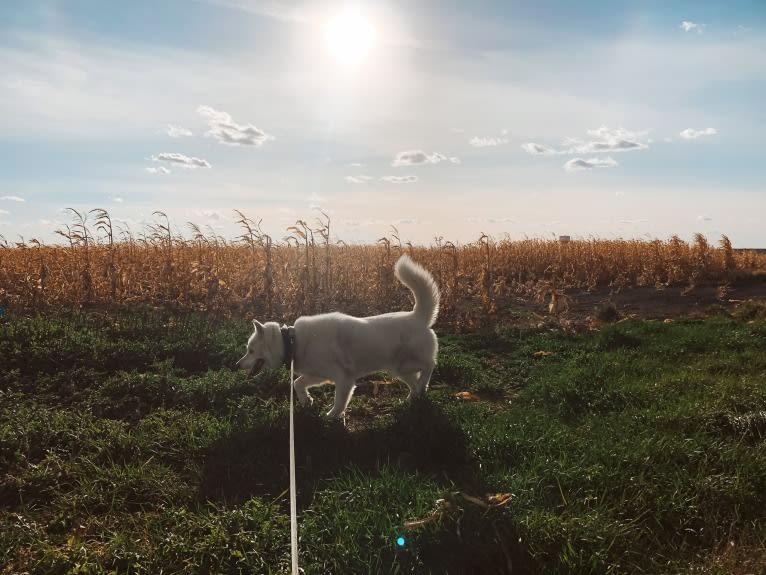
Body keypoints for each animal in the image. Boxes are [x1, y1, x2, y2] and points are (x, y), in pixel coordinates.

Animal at [237, 256, 440, 418]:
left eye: (250, 350)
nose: (236, 365)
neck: (293, 342)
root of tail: (417, 316)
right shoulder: (317, 375)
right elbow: (297, 383)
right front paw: (306, 400)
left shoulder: (344, 379)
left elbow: (339, 401)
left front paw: (332, 417)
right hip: (399, 369)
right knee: (415, 384)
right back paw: (412, 398)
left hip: (407, 363)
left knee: (430, 366)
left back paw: (421, 386)